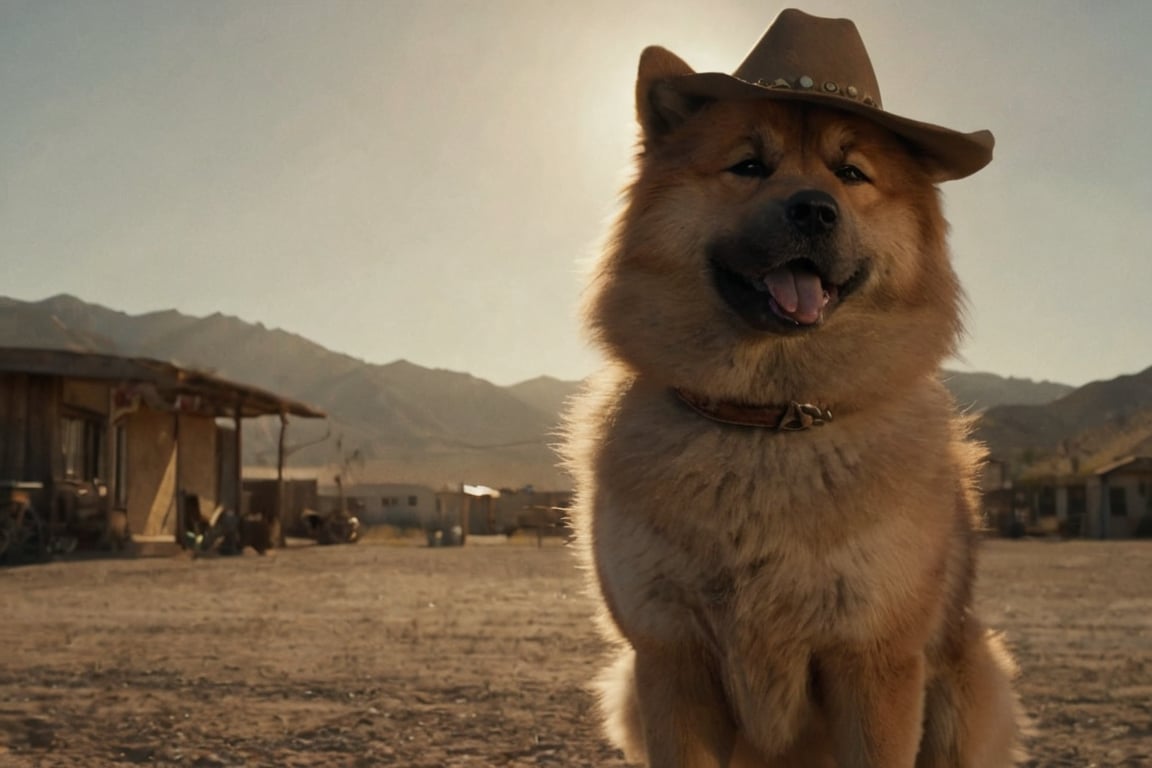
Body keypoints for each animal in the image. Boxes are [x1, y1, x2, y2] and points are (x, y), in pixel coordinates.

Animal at [562, 7, 1022, 768]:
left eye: (852, 173)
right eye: (749, 165)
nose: (814, 210)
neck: (767, 419)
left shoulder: (874, 662)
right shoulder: (670, 659)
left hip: (967, 677)